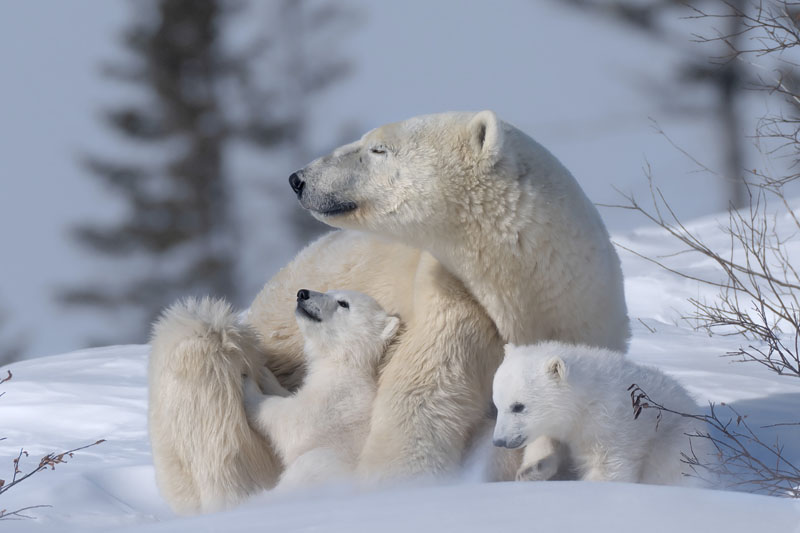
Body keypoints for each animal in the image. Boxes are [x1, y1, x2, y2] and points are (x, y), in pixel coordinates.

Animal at [242, 288, 400, 490]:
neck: (342, 362)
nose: (302, 293)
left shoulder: (335, 400)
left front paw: (248, 385)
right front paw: (264, 374)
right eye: (329, 291)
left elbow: (292, 423)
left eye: (343, 303)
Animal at [492, 342, 700, 485]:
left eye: (518, 406)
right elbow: (544, 442)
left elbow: (608, 468)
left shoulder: (609, 428)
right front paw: (530, 471)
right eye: (497, 404)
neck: (586, 403)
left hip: (673, 442)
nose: (499, 441)